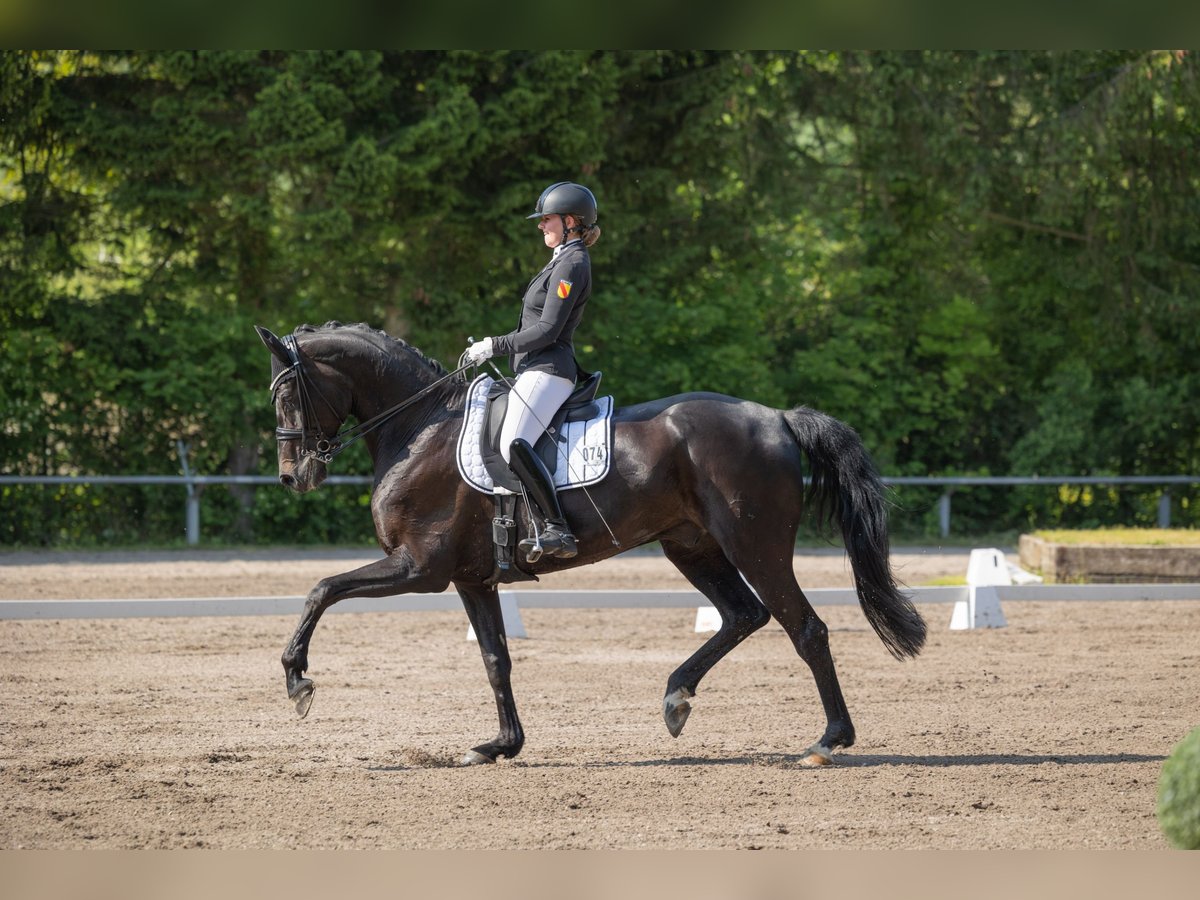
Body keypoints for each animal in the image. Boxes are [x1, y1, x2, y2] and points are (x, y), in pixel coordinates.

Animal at [255, 321, 926, 768]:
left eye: (287, 395)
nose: (293, 477)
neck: (422, 430)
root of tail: (779, 418)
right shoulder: (471, 578)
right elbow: (495, 659)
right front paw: (501, 746)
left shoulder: (419, 567)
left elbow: (322, 588)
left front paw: (298, 682)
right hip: (692, 546)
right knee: (744, 614)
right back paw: (676, 698)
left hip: (754, 545)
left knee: (804, 627)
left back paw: (827, 742)